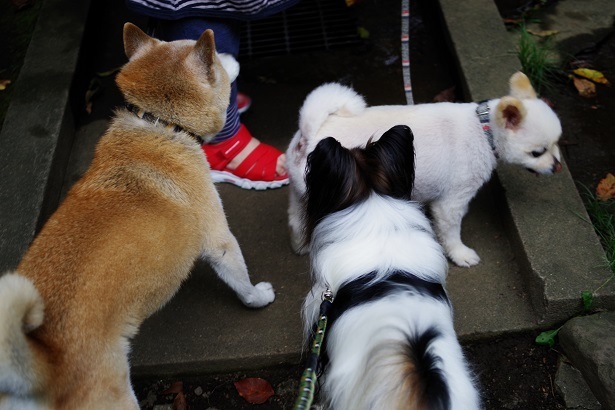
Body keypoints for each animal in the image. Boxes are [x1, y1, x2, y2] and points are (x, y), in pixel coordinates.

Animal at [0, 23, 274, 410]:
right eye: (218, 62)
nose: (231, 55)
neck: (161, 124)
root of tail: (43, 361)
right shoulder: (219, 240)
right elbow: (241, 280)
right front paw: (257, 298)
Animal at [288, 72, 564, 268]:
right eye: (538, 152)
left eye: (557, 144)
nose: (557, 166)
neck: (484, 130)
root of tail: (309, 133)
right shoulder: (451, 201)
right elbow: (451, 232)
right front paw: (460, 254)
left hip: (304, 193)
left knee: (296, 218)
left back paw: (301, 244)